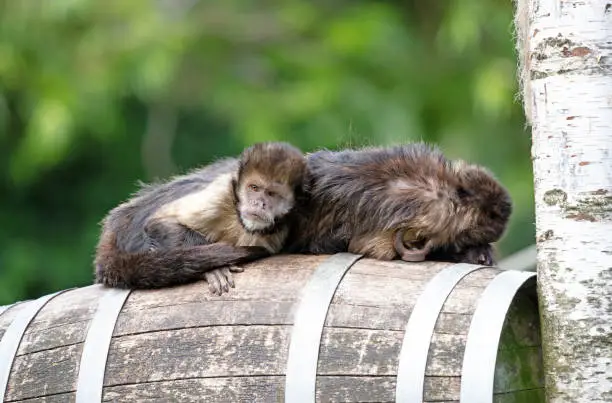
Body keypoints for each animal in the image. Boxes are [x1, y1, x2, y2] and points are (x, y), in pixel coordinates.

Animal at [94, 142, 308, 294]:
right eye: (254, 188)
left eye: (272, 195)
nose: (259, 203)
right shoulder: (221, 192)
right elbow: (160, 223)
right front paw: (213, 268)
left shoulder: (276, 232)